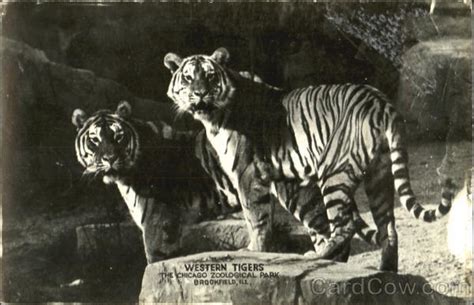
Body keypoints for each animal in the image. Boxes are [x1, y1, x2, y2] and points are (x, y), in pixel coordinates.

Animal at [163, 46, 456, 270]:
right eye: (187, 78)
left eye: (210, 76)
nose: (200, 93)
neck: (213, 116)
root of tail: (381, 102)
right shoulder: (284, 176)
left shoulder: (248, 172)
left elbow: (254, 217)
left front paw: (254, 250)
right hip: (379, 176)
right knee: (389, 230)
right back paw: (387, 272)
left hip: (334, 171)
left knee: (345, 225)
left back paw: (319, 255)